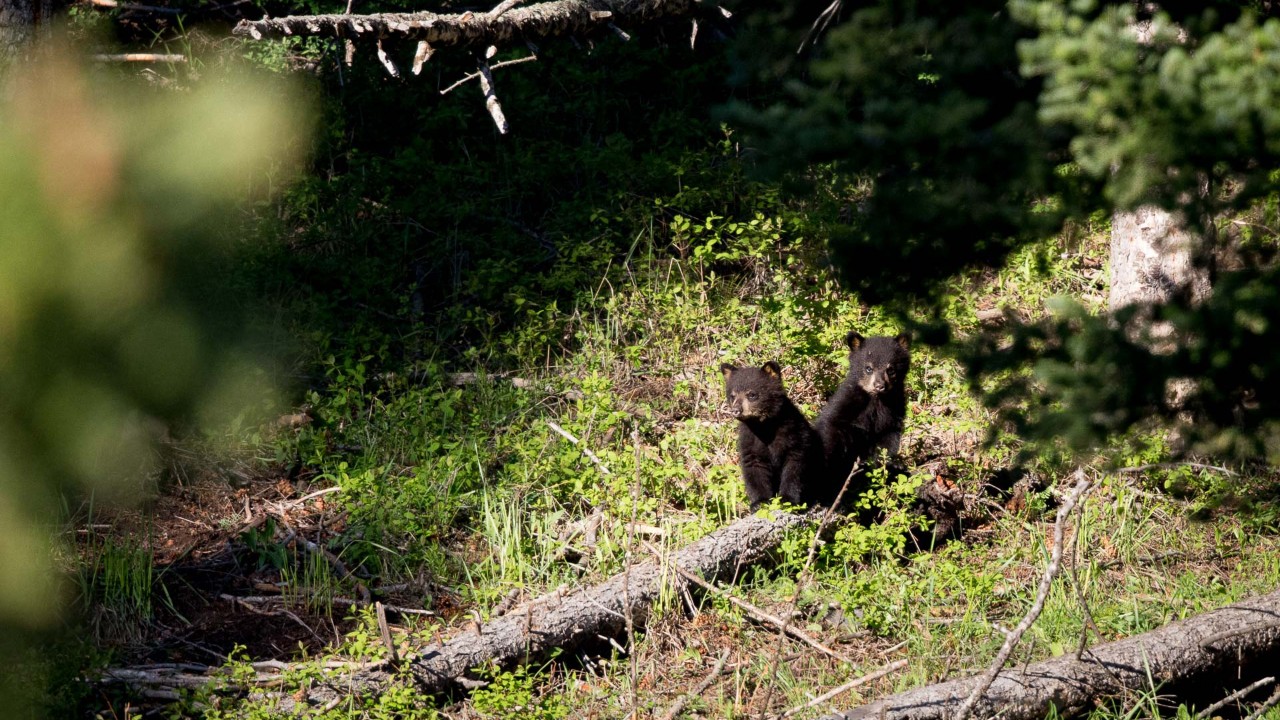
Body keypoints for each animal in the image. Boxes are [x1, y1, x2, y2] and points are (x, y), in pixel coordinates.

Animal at [720, 361, 829, 509]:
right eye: (732, 395)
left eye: (752, 394)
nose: (736, 410)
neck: (763, 427)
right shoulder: (750, 439)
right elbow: (754, 467)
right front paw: (759, 502)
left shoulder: (794, 434)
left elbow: (794, 466)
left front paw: (787, 499)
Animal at [814, 331, 911, 499]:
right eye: (868, 368)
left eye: (891, 369)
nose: (880, 386)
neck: (876, 401)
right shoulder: (847, 402)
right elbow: (832, 425)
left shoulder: (894, 409)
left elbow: (888, 439)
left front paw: (890, 463)